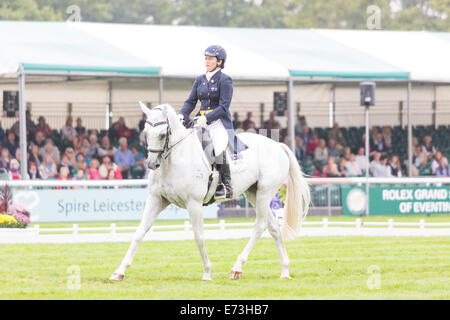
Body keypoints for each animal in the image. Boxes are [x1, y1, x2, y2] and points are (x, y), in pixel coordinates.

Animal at [109, 104, 310, 282]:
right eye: (145, 132)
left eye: (162, 134)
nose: (152, 164)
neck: (174, 159)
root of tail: (277, 145)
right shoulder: (156, 199)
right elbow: (139, 232)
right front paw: (119, 272)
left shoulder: (194, 203)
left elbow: (199, 237)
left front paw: (207, 272)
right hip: (253, 193)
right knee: (273, 227)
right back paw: (284, 270)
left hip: (264, 193)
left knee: (259, 226)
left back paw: (237, 268)